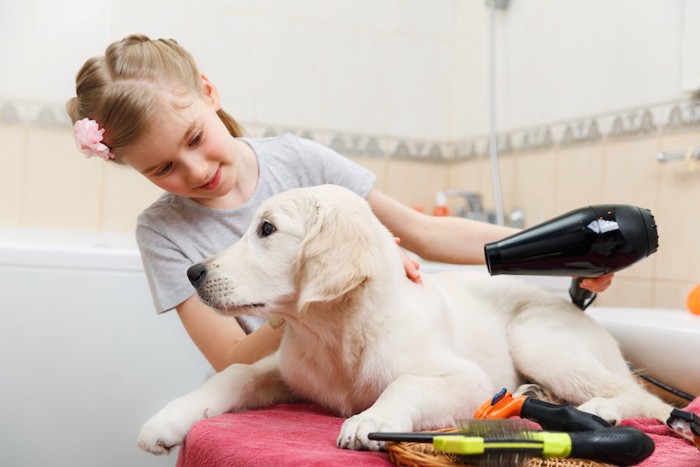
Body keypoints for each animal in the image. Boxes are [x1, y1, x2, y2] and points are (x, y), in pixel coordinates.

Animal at [138, 185, 672, 456]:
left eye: (267, 229)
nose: (192, 273)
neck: (336, 332)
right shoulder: (284, 368)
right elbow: (233, 373)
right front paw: (167, 419)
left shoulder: (468, 380)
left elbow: (406, 383)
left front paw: (371, 418)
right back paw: (536, 394)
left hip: (537, 338)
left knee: (642, 396)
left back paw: (601, 410)